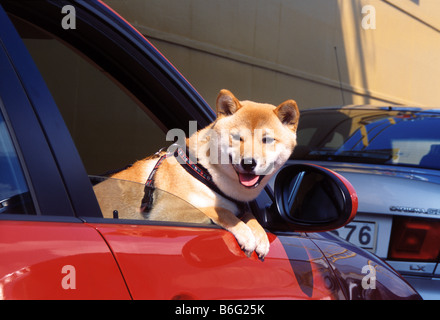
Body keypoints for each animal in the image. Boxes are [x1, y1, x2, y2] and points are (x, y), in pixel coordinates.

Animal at [93, 89, 300, 258]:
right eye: (236, 137)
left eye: (267, 140)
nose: (249, 163)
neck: (206, 171)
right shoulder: (165, 213)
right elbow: (221, 211)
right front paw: (245, 233)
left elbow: (251, 218)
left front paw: (261, 236)